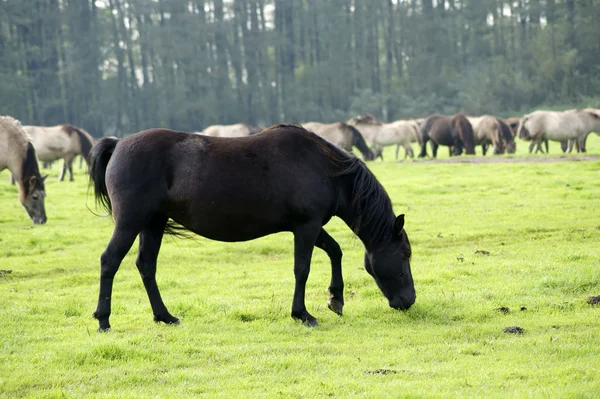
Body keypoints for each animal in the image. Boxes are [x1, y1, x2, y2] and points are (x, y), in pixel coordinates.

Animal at [89, 124, 414, 332]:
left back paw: (164, 316)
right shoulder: (306, 227)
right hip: (130, 222)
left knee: (146, 266)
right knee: (109, 261)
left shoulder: (309, 226)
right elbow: (302, 269)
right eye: (405, 255)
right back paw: (104, 320)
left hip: (153, 224)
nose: (409, 300)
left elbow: (335, 251)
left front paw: (336, 299)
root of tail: (118, 143)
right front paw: (302, 314)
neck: (325, 168)